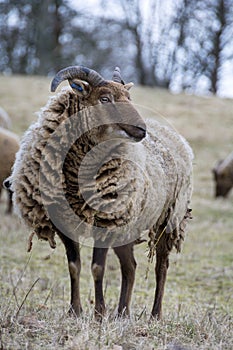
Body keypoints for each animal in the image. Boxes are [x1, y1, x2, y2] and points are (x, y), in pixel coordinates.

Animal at [6, 65, 193, 320]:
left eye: (129, 97)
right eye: (105, 98)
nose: (141, 130)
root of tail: (177, 137)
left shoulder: (105, 223)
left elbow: (97, 268)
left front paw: (99, 314)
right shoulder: (64, 222)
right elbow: (74, 267)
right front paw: (75, 311)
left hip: (169, 219)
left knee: (161, 266)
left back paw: (155, 314)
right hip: (127, 225)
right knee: (130, 267)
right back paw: (123, 313)